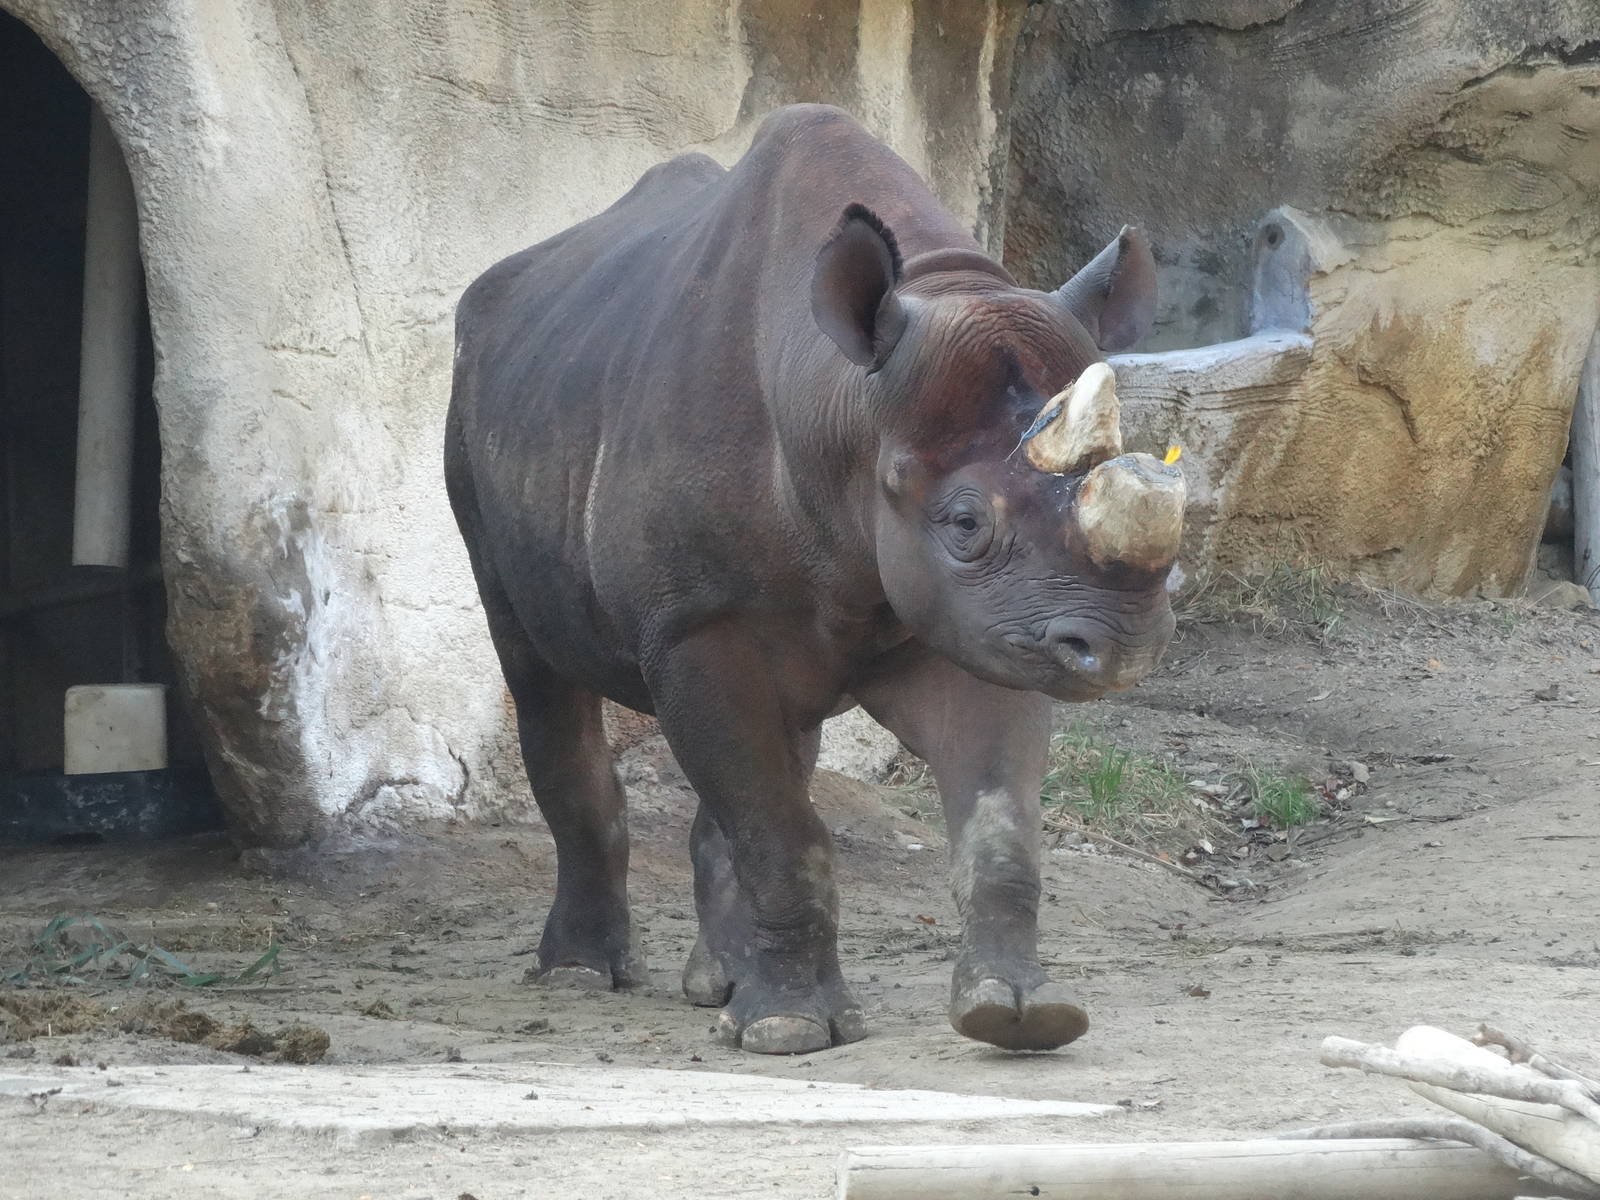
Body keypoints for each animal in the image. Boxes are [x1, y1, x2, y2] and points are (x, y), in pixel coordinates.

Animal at [445, 105, 1183, 1055]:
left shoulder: (996, 621)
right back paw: (583, 975)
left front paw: (1021, 1013)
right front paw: (791, 1029)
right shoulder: (697, 624)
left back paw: (718, 987)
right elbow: (781, 836)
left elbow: (998, 826)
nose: (1124, 643)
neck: (845, 403)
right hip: (473, 430)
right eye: (965, 524)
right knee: (536, 669)